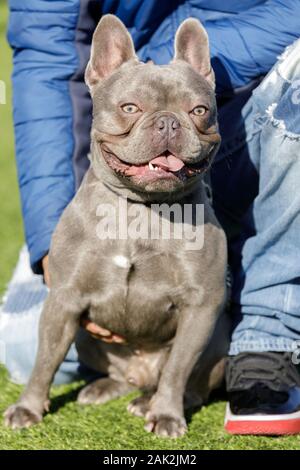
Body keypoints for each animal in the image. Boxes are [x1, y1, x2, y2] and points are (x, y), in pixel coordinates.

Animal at [4, 15, 227, 440]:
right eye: (130, 108)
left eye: (199, 110)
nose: (169, 122)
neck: (140, 209)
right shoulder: (64, 301)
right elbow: (45, 362)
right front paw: (28, 408)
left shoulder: (200, 307)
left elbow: (178, 370)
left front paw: (166, 415)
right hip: (87, 338)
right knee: (116, 374)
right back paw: (104, 387)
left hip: (216, 340)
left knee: (186, 381)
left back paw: (149, 402)